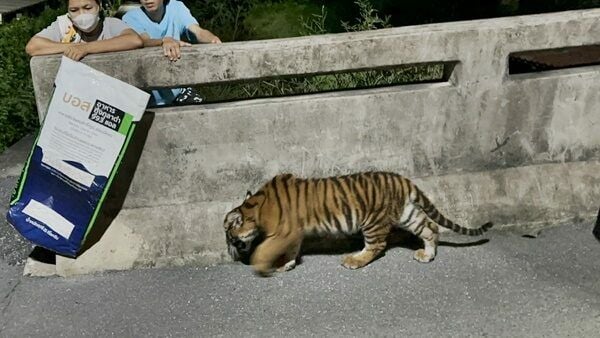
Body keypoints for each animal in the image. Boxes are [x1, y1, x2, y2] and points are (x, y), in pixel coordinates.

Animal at [221, 172, 492, 278]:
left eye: (229, 236)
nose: (229, 250)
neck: (255, 208)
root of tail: (403, 180)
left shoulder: (284, 232)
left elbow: (265, 248)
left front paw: (260, 264)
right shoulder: (293, 234)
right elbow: (291, 250)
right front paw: (285, 265)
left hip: (372, 221)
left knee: (377, 246)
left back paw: (354, 260)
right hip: (408, 214)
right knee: (431, 228)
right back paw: (427, 255)